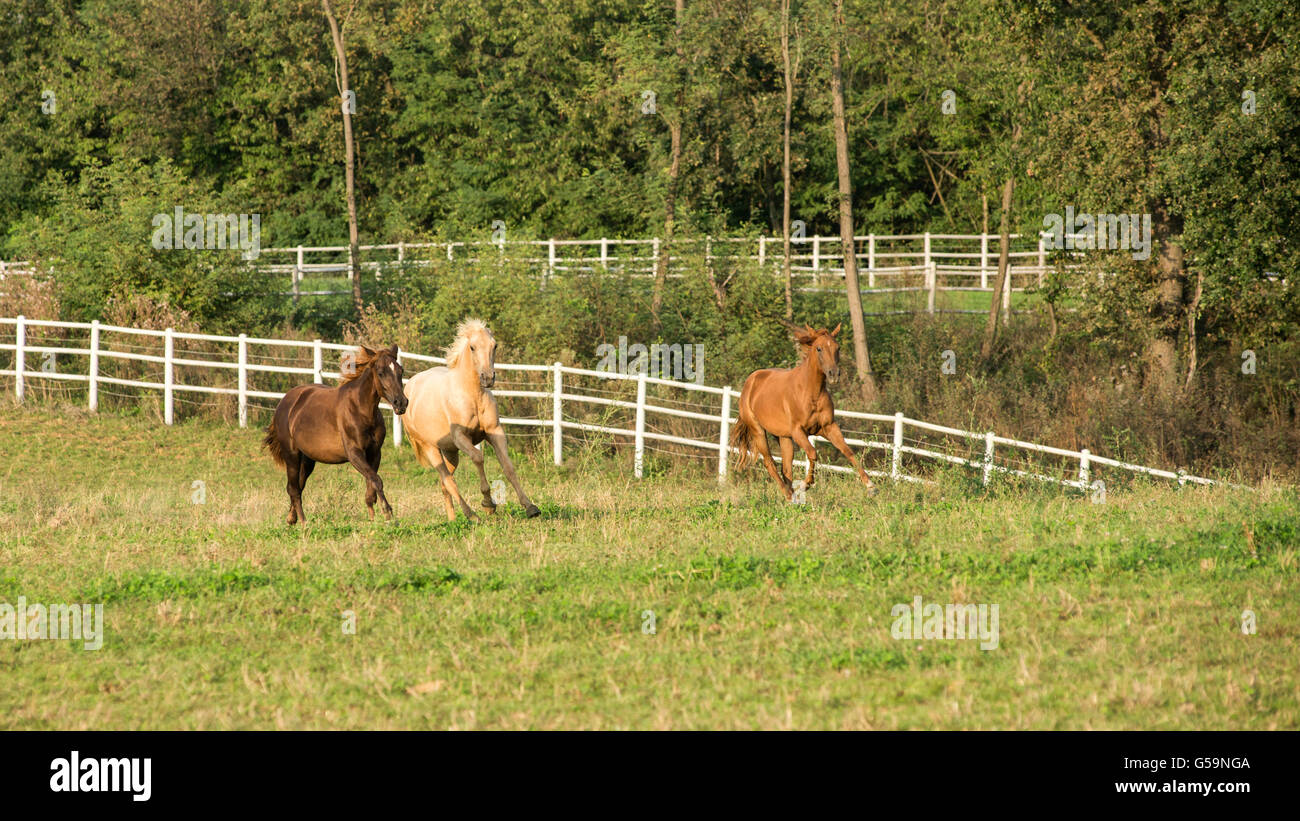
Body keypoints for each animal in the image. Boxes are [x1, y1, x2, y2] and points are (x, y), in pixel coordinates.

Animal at [263, 345, 408, 524]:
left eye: (400, 370)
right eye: (381, 372)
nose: (401, 403)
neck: (360, 409)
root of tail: (284, 402)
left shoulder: (374, 453)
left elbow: (371, 488)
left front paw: (373, 519)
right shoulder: (354, 454)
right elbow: (376, 480)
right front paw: (388, 512)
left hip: (307, 460)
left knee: (299, 485)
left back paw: (291, 518)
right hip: (292, 455)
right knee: (293, 489)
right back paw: (304, 522)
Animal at [401, 319, 540, 522]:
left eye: (494, 345)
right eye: (472, 347)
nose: (488, 378)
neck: (473, 396)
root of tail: (408, 388)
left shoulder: (495, 432)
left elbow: (508, 467)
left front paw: (530, 507)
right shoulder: (461, 437)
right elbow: (478, 458)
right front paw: (488, 504)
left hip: (450, 452)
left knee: (444, 484)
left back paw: (452, 520)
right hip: (431, 449)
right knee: (449, 481)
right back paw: (472, 515)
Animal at [730, 320, 875, 499]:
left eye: (838, 347)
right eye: (818, 348)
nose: (834, 374)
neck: (810, 392)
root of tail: (750, 381)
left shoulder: (828, 427)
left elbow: (848, 451)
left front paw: (870, 485)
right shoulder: (799, 431)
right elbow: (812, 453)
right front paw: (806, 484)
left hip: (783, 437)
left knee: (786, 467)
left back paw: (791, 494)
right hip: (758, 431)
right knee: (769, 462)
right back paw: (789, 494)